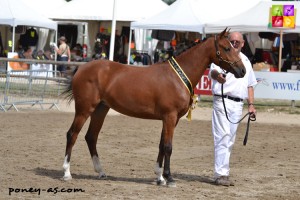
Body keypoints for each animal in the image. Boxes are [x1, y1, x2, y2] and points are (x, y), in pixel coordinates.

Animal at [62, 28, 245, 188]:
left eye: (233, 46)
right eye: (227, 48)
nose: (242, 70)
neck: (178, 76)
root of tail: (82, 68)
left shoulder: (170, 119)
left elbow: (161, 145)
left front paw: (159, 177)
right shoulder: (170, 117)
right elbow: (168, 147)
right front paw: (169, 178)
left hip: (100, 110)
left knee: (91, 137)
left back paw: (100, 171)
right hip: (84, 109)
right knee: (72, 134)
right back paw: (66, 173)